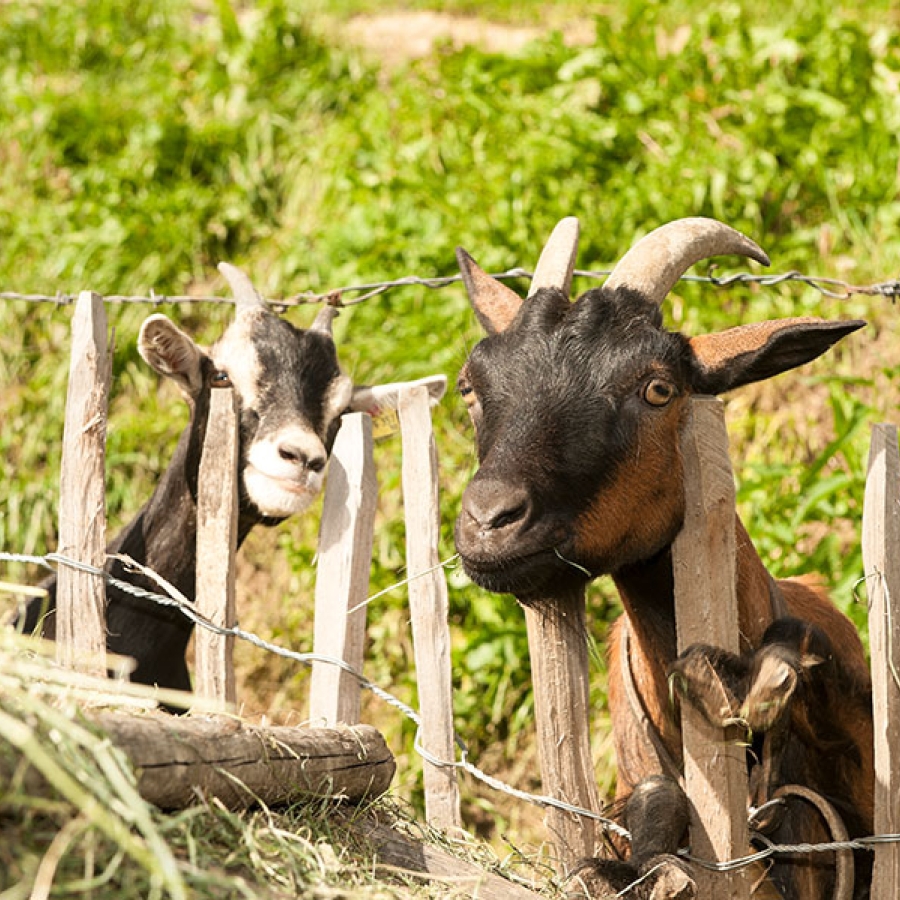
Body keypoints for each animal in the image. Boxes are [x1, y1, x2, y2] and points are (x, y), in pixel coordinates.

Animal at [454, 220, 876, 900]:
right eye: (471, 386)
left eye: (659, 389)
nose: (489, 521)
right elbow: (651, 802)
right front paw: (632, 867)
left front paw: (756, 675)